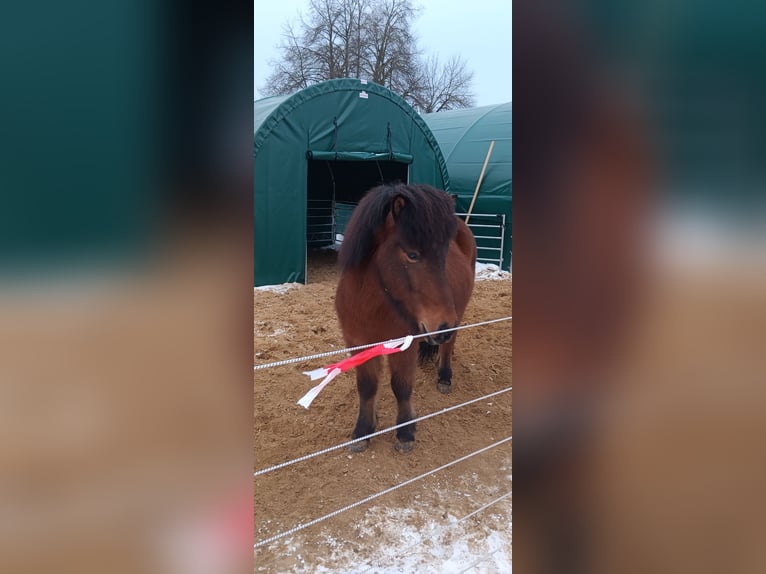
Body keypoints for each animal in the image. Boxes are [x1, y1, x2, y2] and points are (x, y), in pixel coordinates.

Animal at [335, 182, 477, 453]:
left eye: (444, 254)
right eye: (412, 255)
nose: (442, 324)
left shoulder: (404, 346)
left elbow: (401, 387)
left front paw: (405, 433)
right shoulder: (358, 344)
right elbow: (367, 387)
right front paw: (363, 431)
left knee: (449, 345)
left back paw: (445, 377)